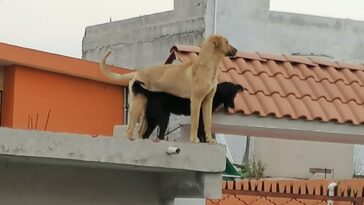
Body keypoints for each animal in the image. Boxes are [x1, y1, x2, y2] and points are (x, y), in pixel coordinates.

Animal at [100, 34, 236, 143]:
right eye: (227, 41)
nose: (236, 50)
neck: (207, 66)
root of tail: (137, 73)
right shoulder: (196, 101)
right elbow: (196, 123)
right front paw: (194, 139)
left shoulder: (207, 102)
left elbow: (208, 124)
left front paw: (209, 140)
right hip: (138, 106)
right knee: (130, 129)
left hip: (146, 110)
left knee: (140, 131)